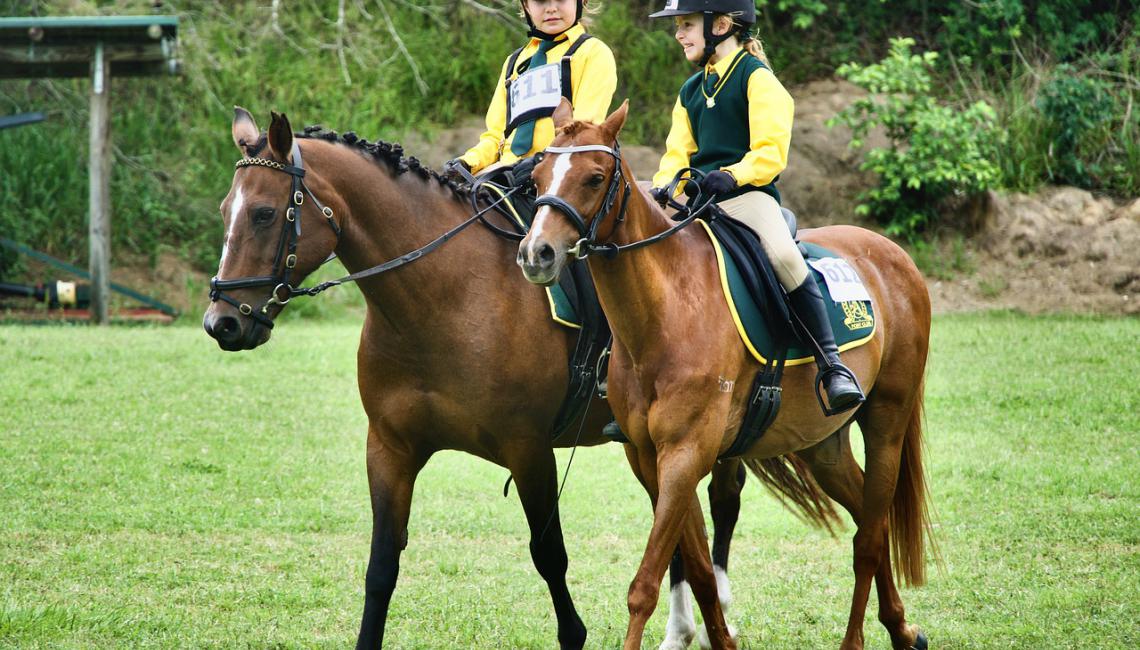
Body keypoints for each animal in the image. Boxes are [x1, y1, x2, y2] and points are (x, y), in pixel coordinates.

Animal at [202, 108, 820, 643]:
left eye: (263, 213)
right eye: (225, 210)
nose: (221, 322)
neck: (445, 295)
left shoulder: (528, 450)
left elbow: (550, 556)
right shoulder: (390, 448)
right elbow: (381, 568)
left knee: (720, 501)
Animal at [517, 97, 934, 647]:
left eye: (594, 177)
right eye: (537, 177)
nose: (536, 253)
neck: (663, 314)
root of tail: (894, 254)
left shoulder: (686, 451)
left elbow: (645, 584)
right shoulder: (650, 457)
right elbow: (696, 570)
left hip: (886, 419)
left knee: (868, 538)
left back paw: (858, 640)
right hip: (823, 444)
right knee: (870, 518)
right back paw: (903, 628)